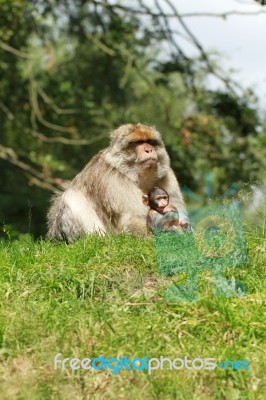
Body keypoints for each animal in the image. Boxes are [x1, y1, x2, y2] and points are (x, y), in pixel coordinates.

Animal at [46, 122, 186, 241]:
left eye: (150, 142)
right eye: (138, 142)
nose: (149, 149)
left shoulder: (167, 176)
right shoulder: (115, 181)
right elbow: (133, 220)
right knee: (72, 196)